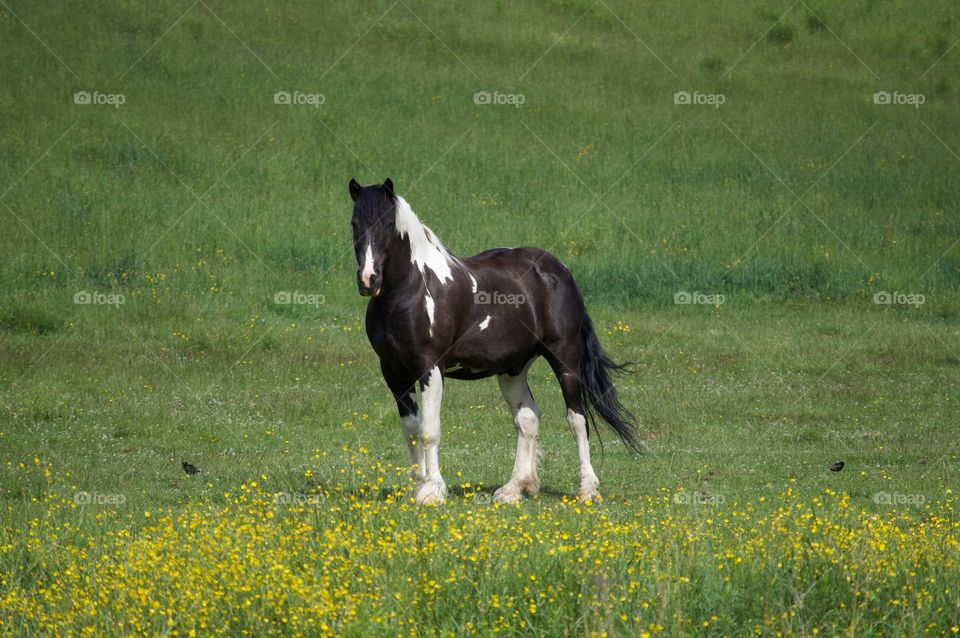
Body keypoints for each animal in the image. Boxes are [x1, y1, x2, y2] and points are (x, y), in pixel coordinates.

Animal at [348, 177, 640, 504]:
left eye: (388, 223)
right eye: (355, 223)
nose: (368, 280)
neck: (413, 290)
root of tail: (559, 270)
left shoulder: (430, 367)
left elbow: (429, 430)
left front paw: (432, 491)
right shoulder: (393, 371)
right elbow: (411, 430)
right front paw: (418, 486)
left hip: (565, 356)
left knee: (577, 419)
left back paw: (587, 489)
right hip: (513, 367)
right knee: (528, 418)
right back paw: (515, 488)